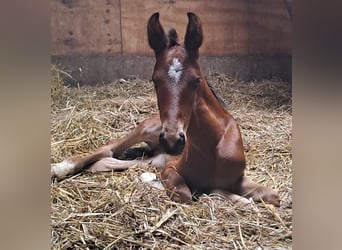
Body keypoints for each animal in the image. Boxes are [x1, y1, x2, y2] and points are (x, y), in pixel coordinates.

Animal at [51, 12, 280, 207]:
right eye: (154, 81)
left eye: (196, 80)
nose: (172, 140)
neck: (214, 146)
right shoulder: (172, 168)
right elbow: (186, 193)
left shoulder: (236, 178)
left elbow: (273, 196)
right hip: (145, 129)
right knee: (109, 149)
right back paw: (59, 168)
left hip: (156, 155)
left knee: (113, 161)